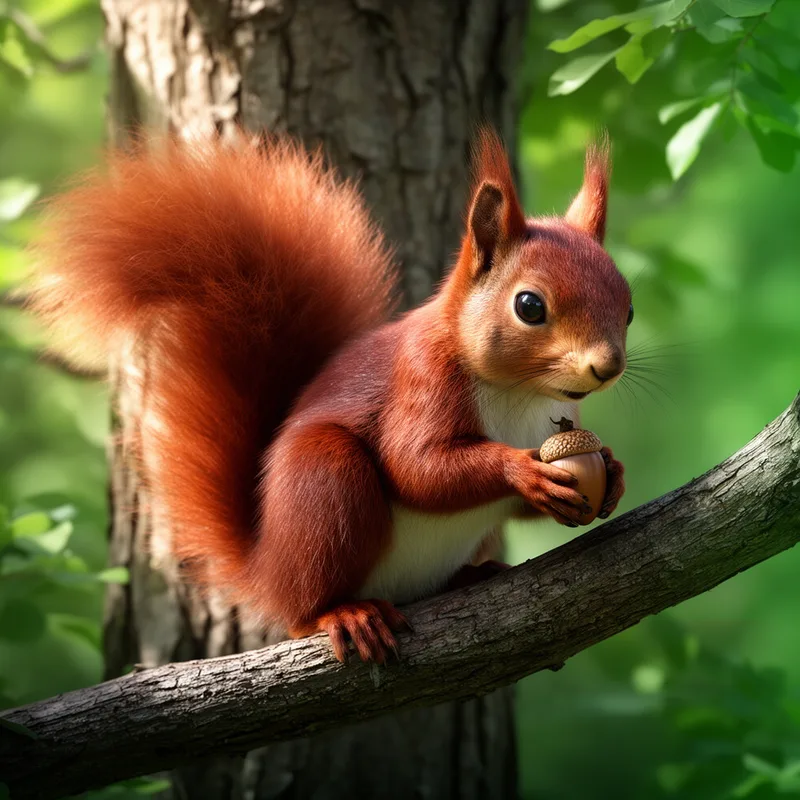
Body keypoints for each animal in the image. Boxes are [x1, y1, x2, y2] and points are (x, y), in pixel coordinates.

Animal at [26, 130, 629, 664]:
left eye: (627, 307)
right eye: (529, 306)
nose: (607, 366)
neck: (521, 394)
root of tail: (265, 567)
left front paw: (613, 470)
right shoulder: (420, 379)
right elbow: (417, 467)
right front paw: (524, 471)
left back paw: (473, 574)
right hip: (322, 479)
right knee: (304, 605)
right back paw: (340, 614)